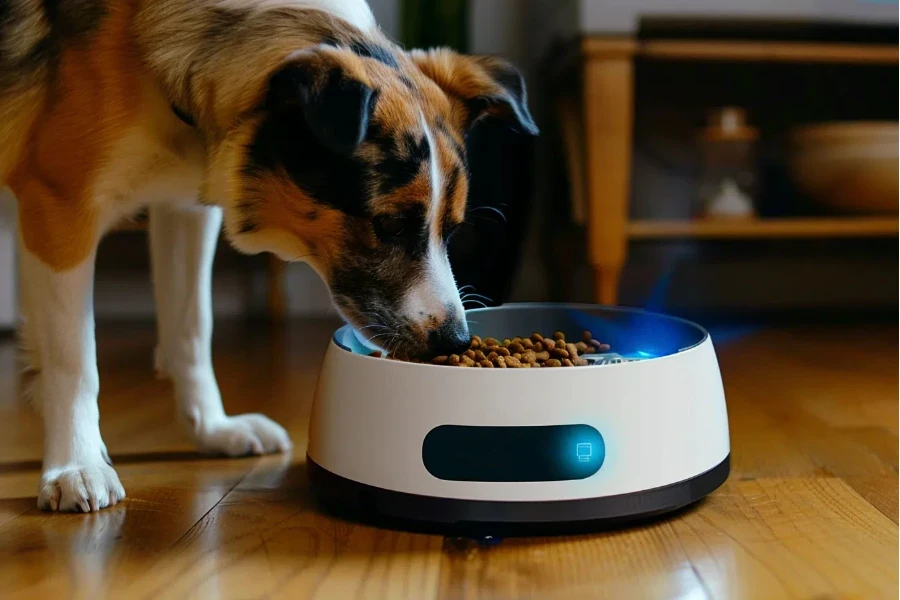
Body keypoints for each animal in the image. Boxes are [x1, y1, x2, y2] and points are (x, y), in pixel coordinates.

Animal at [0, 0, 536, 512]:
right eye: (388, 224)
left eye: (453, 229)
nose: (456, 341)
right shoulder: (60, 207)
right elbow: (74, 358)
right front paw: (75, 464)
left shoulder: (185, 204)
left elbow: (193, 327)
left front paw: (212, 429)